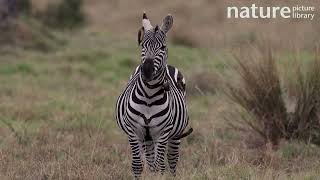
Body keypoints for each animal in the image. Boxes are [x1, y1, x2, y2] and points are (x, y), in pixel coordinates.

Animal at [116, 12, 194, 179]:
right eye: (143, 46)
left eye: (163, 47)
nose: (147, 71)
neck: (149, 96)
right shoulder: (134, 130)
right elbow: (138, 165)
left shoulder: (163, 132)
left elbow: (160, 165)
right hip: (148, 138)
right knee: (152, 161)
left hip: (174, 135)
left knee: (171, 160)